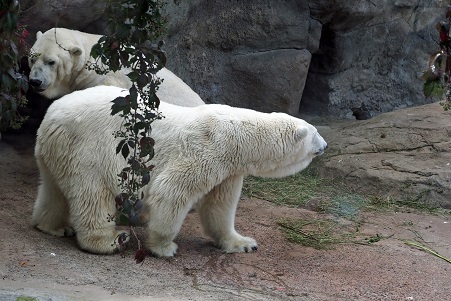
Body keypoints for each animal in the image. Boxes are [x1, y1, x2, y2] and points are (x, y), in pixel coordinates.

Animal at [32, 84, 328, 255]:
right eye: (315, 134)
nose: (325, 145)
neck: (237, 135)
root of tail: (51, 116)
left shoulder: (229, 169)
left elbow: (219, 207)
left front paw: (243, 243)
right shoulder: (207, 149)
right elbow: (172, 191)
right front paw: (164, 247)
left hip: (58, 151)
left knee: (53, 190)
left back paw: (54, 227)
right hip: (89, 149)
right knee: (92, 194)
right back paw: (110, 240)